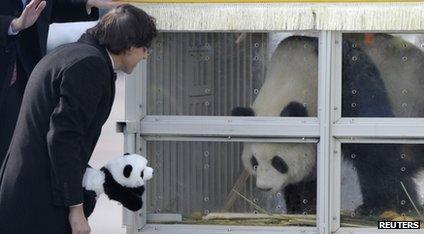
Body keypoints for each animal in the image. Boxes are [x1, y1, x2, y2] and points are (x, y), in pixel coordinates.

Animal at [232, 33, 424, 216]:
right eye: (254, 161)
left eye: (278, 162)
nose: (264, 187)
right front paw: (301, 207)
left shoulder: (351, 84)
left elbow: (373, 151)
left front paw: (375, 206)